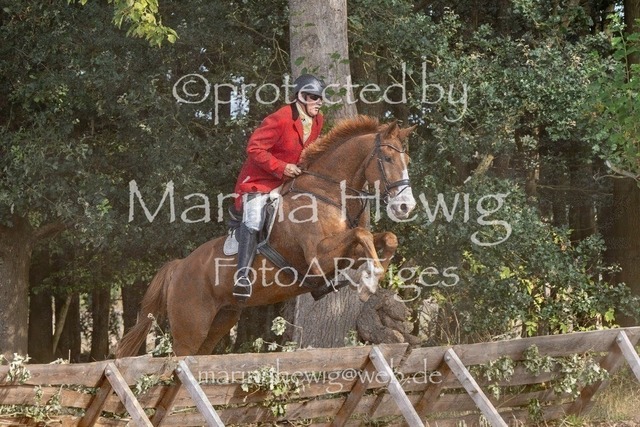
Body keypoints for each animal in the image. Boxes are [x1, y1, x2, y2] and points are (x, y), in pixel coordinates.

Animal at [116, 115, 417, 357]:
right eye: (387, 159)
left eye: (408, 161)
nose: (406, 207)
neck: (327, 193)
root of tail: (178, 267)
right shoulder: (319, 258)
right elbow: (362, 233)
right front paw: (369, 281)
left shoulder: (343, 254)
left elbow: (386, 238)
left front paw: (372, 278)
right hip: (190, 329)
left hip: (221, 321)